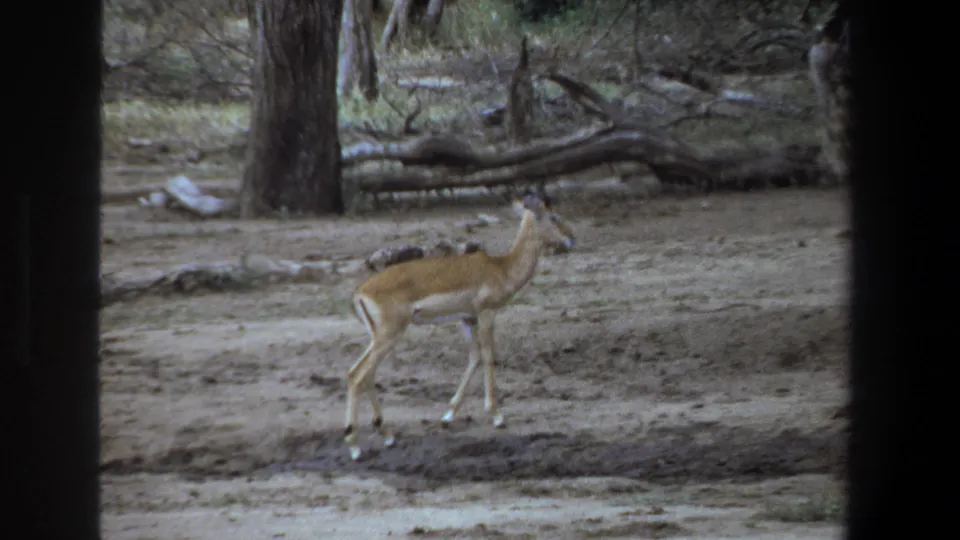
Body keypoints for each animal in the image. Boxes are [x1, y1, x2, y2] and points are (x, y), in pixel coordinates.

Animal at [343, 189, 577, 460]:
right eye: (554, 216)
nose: (572, 238)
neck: (502, 268)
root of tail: (360, 292)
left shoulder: (467, 318)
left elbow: (473, 358)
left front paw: (448, 415)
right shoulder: (487, 314)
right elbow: (488, 357)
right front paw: (497, 416)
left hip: (379, 337)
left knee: (357, 373)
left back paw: (387, 436)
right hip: (390, 335)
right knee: (360, 376)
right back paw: (355, 446)